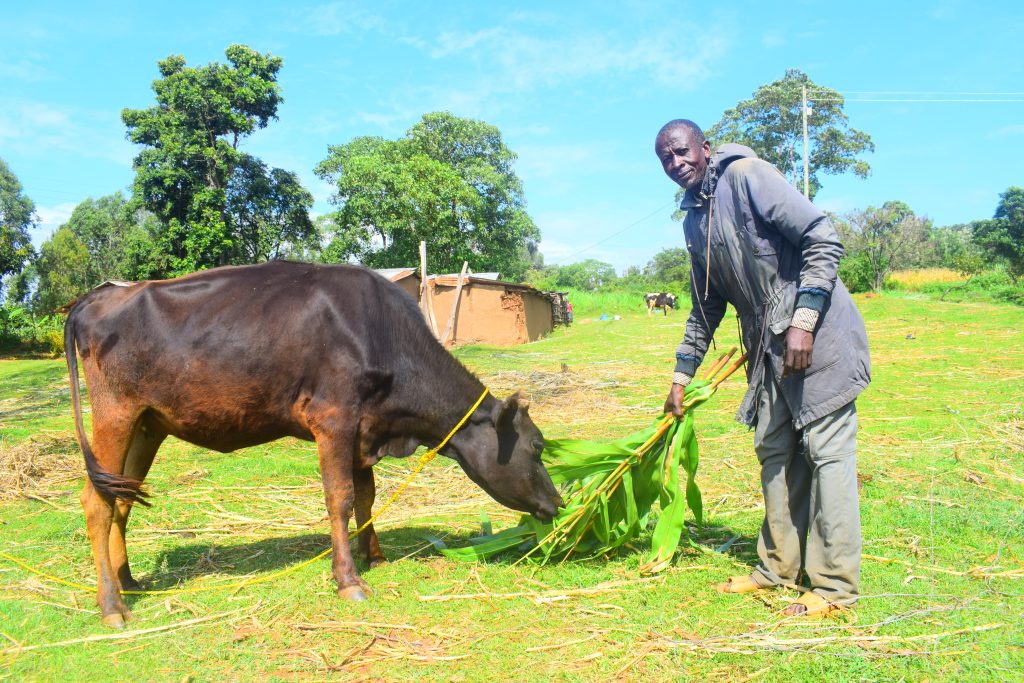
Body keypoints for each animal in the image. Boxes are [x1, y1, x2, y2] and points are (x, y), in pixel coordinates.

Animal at [64, 260, 561, 626]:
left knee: (121, 498)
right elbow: (340, 497)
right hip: (114, 412)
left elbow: (367, 494)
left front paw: (374, 556)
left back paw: (128, 581)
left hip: (148, 423)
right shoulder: (334, 418)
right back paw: (112, 606)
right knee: (96, 501)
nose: (557, 502)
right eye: (537, 446)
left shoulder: (364, 427)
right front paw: (349, 581)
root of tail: (96, 297)